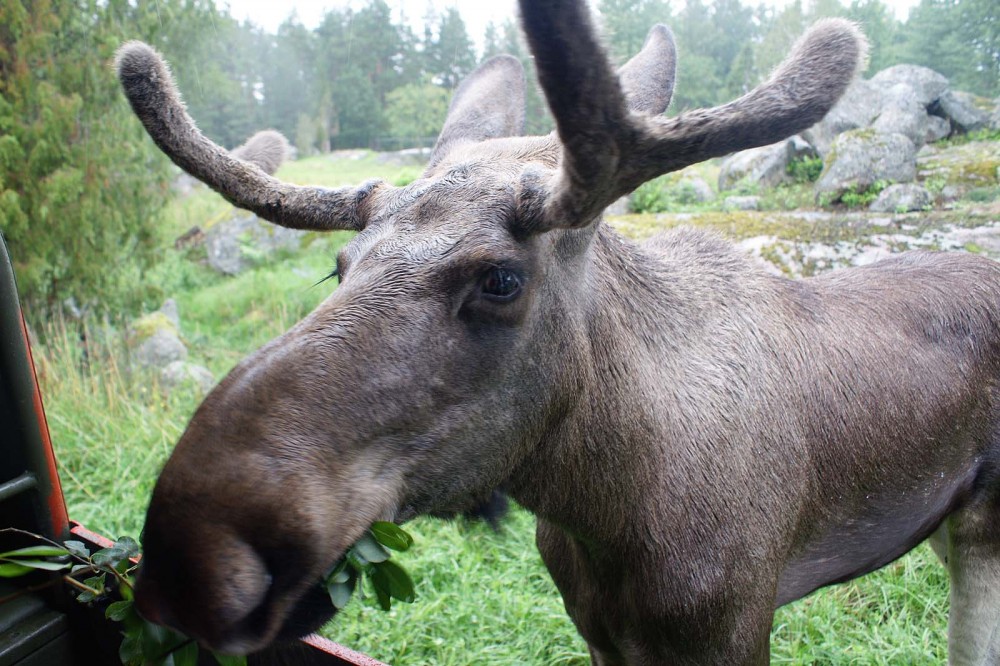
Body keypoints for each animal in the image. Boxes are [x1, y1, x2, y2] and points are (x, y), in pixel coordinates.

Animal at [113, 2, 1000, 660]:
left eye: (501, 278)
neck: (606, 506)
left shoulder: (732, 624)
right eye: (341, 265)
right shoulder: (600, 632)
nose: (192, 553)